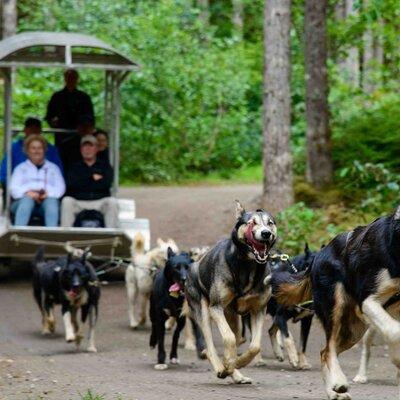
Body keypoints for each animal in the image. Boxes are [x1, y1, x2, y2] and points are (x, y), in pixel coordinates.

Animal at [184, 200, 276, 384]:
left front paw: (238, 362)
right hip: (203, 311)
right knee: (210, 346)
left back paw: (235, 373)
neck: (248, 266)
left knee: (239, 338)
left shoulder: (258, 310)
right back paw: (222, 367)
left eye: (270, 223)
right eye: (252, 222)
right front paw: (229, 362)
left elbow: (255, 346)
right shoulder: (216, 307)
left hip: (235, 319)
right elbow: (228, 338)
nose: (266, 233)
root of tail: (192, 265)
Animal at [272, 206, 400, 400]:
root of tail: (317, 257)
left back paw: (333, 392)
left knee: (325, 352)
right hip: (337, 309)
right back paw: (338, 384)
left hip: (353, 330)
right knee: (327, 351)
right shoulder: (369, 300)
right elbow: (395, 331)